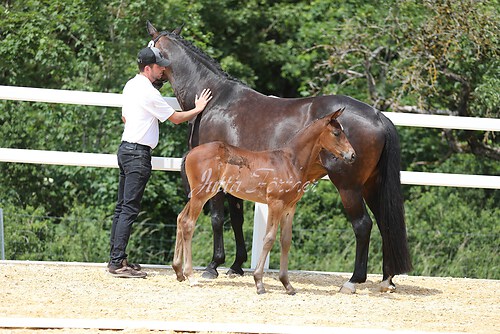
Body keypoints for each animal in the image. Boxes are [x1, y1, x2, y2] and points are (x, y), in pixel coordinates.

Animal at [174, 108, 354, 294]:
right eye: (336, 133)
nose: (352, 155)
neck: (290, 161)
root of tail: (191, 152)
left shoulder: (290, 207)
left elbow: (285, 240)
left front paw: (287, 285)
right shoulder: (275, 204)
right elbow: (269, 239)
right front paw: (259, 282)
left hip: (197, 195)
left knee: (180, 218)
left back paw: (179, 271)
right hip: (202, 194)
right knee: (188, 224)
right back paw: (190, 276)